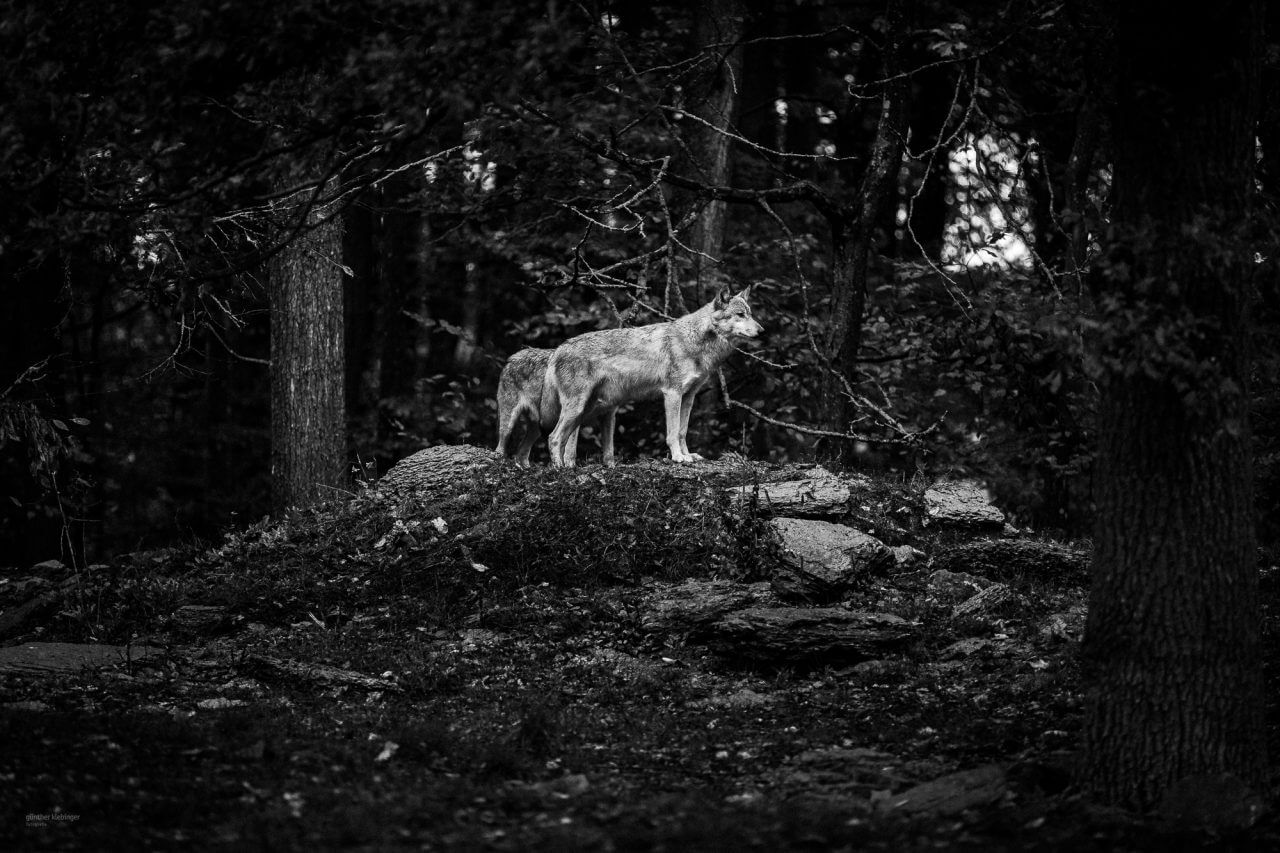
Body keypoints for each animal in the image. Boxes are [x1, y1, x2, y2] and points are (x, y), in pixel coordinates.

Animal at [547, 285, 762, 466]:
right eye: (740, 314)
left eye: (750, 314)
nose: (762, 330)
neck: (695, 341)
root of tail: (558, 349)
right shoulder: (672, 393)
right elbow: (673, 433)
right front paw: (678, 457)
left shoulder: (689, 396)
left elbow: (682, 431)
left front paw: (688, 455)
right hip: (578, 407)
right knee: (554, 438)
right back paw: (560, 470)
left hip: (587, 409)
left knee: (565, 439)